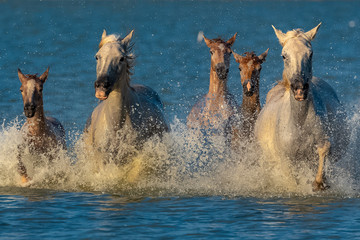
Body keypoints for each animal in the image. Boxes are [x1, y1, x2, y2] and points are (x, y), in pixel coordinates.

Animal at [253, 23, 348, 191]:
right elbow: (293, 182)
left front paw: (319, 184)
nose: (299, 89)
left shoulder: (321, 145)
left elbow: (324, 150)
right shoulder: (286, 160)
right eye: (284, 55)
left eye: (310, 54)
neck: (299, 123)